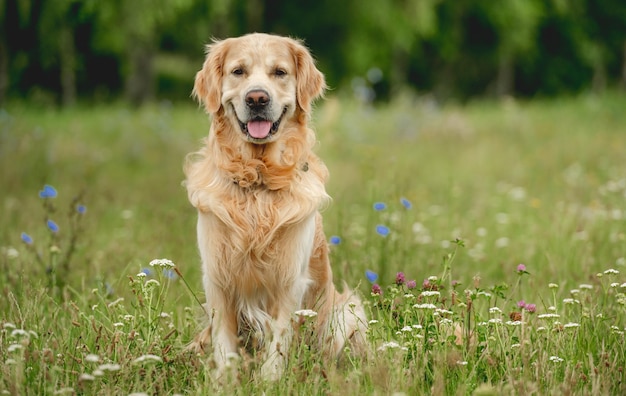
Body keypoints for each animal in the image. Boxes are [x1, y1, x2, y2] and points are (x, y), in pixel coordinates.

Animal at [183, 33, 366, 380]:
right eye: (238, 71)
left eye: (279, 72)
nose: (257, 99)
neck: (257, 178)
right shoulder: (217, 278)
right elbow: (225, 343)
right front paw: (224, 382)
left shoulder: (289, 280)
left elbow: (279, 339)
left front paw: (270, 381)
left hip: (346, 312)